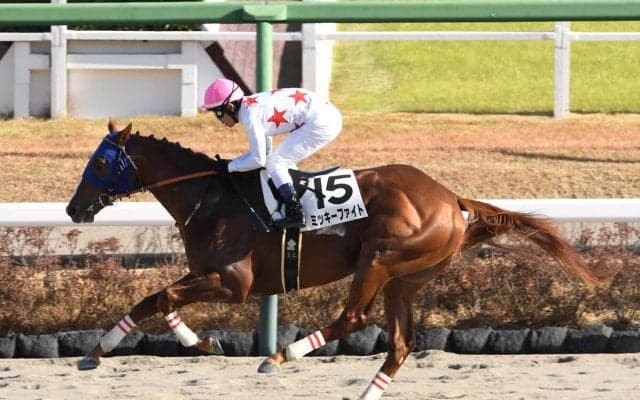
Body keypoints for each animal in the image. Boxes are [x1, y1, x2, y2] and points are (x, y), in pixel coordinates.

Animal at [66, 121, 600, 400]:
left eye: (100, 162)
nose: (73, 208)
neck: (209, 197)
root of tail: (452, 199)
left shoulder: (232, 282)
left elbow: (163, 298)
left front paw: (198, 342)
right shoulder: (204, 272)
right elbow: (155, 299)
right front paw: (101, 351)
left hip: (381, 259)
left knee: (354, 318)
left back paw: (279, 357)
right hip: (407, 278)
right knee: (401, 343)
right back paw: (364, 391)